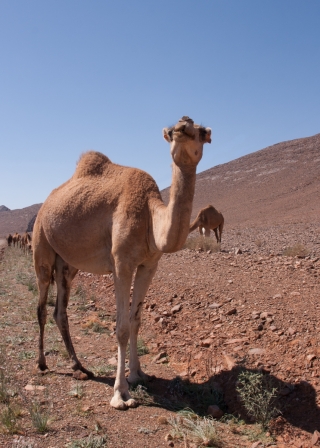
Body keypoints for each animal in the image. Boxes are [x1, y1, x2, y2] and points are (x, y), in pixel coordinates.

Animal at [33, 114, 212, 410]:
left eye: (201, 132)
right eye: (173, 131)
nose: (182, 128)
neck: (151, 217)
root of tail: (45, 204)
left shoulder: (149, 265)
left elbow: (136, 319)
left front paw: (139, 374)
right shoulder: (121, 265)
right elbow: (121, 328)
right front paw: (121, 394)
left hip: (68, 264)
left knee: (60, 311)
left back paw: (80, 366)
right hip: (42, 248)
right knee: (42, 306)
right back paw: (42, 363)